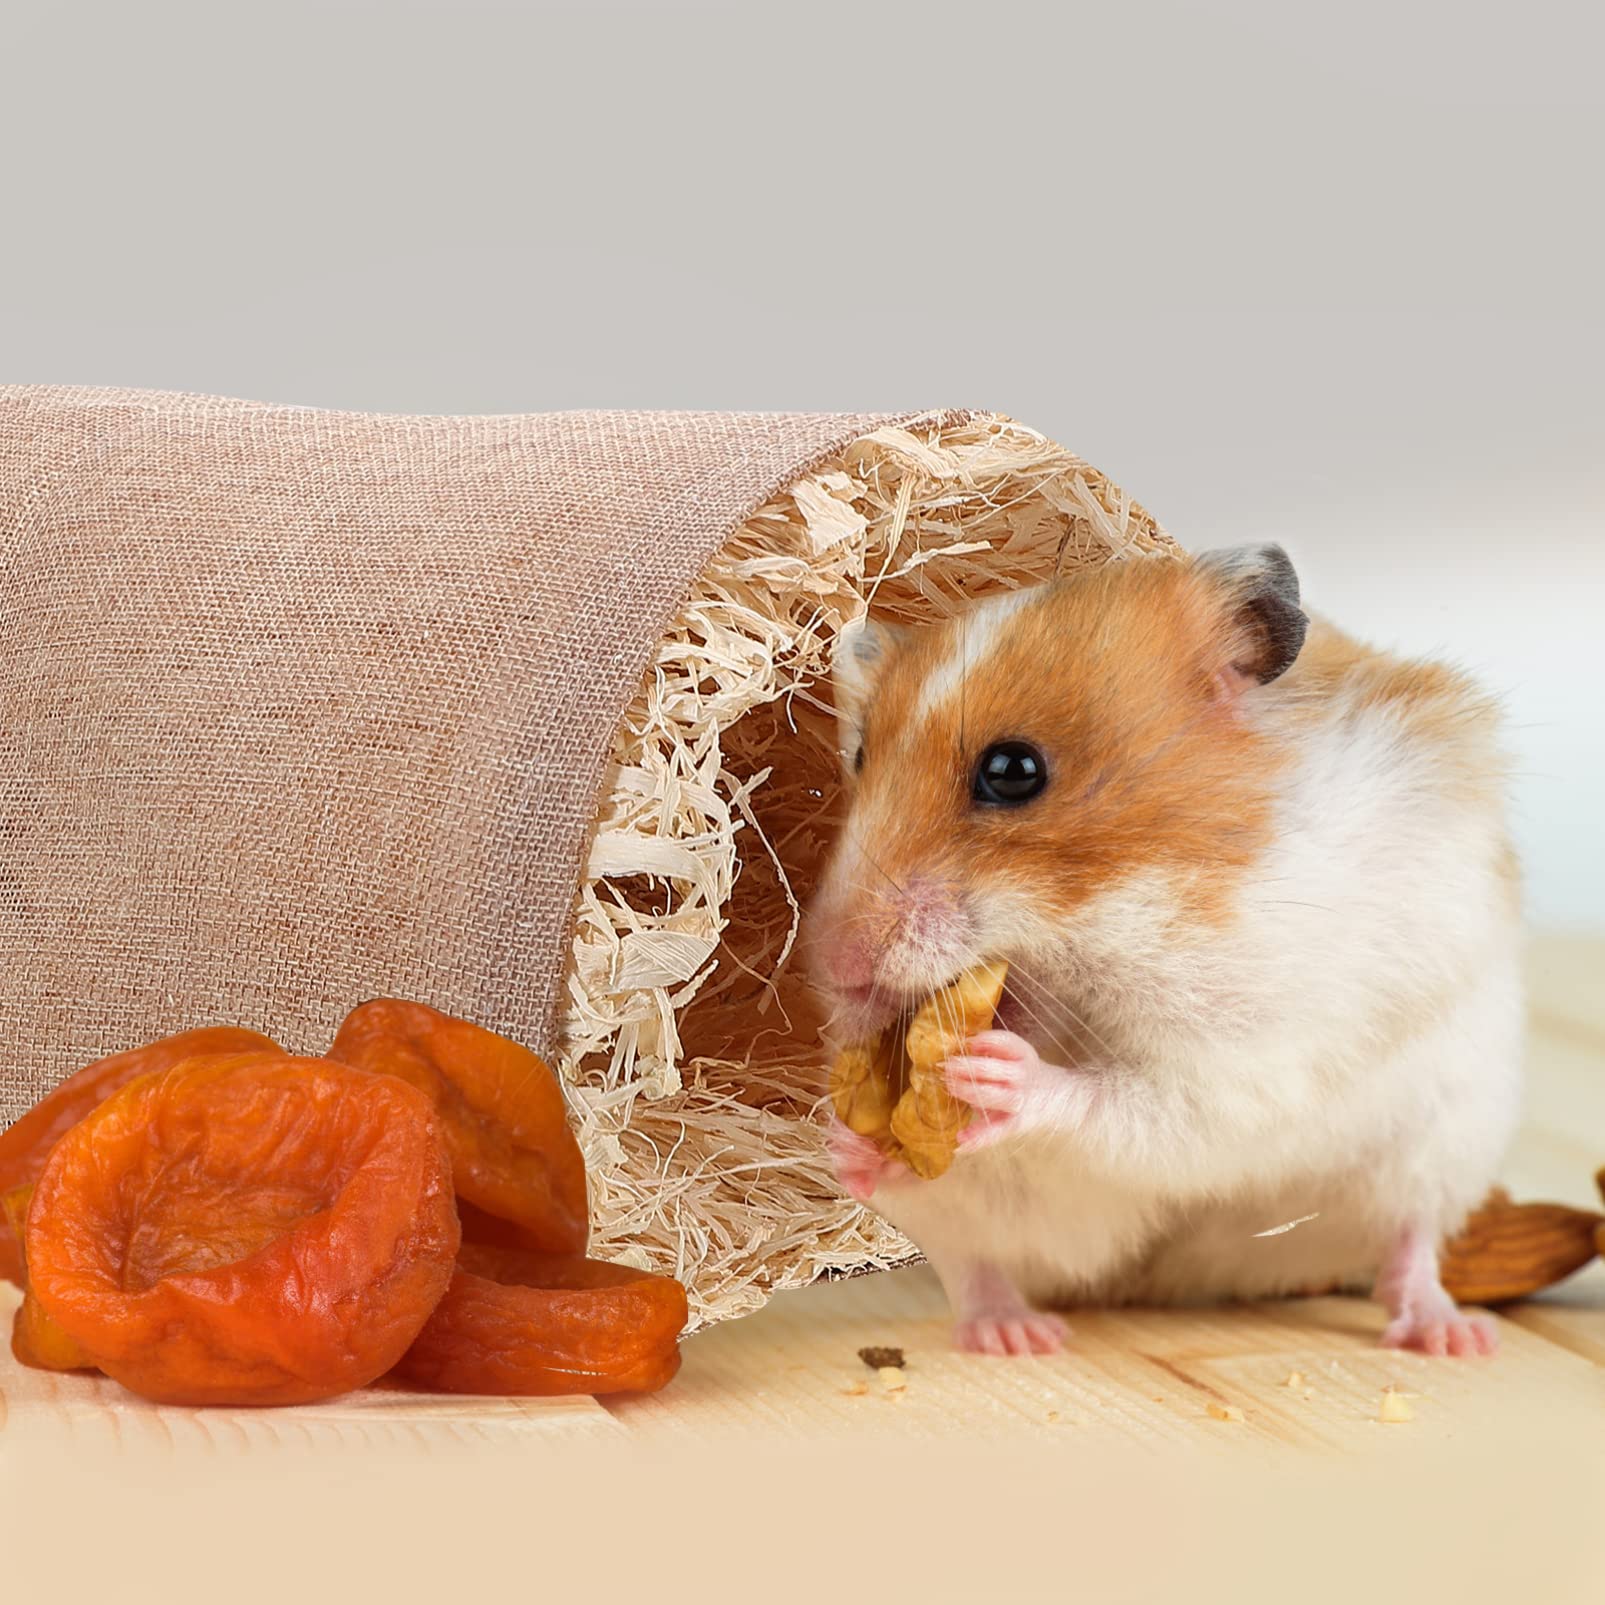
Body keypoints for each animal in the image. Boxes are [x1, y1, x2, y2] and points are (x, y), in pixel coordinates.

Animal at [806, 544, 1523, 1358]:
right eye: (860, 755)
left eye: (1012, 770)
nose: (835, 966)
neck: (1117, 917)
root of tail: (1181, 1278)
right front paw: (844, 1129)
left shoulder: (1248, 1056)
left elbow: (1142, 1103)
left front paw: (999, 1073)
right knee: (973, 1260)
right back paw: (1009, 1329)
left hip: (1445, 1139)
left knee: (1411, 1242)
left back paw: (1454, 1338)